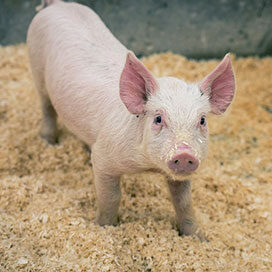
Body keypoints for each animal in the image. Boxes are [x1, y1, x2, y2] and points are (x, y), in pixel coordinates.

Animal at [27, 0, 236, 240]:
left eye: (202, 121)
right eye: (158, 118)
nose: (184, 153)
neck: (146, 166)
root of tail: (57, 5)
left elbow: (184, 202)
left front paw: (198, 238)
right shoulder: (103, 158)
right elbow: (111, 197)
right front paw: (105, 227)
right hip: (36, 68)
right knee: (46, 107)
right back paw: (49, 142)